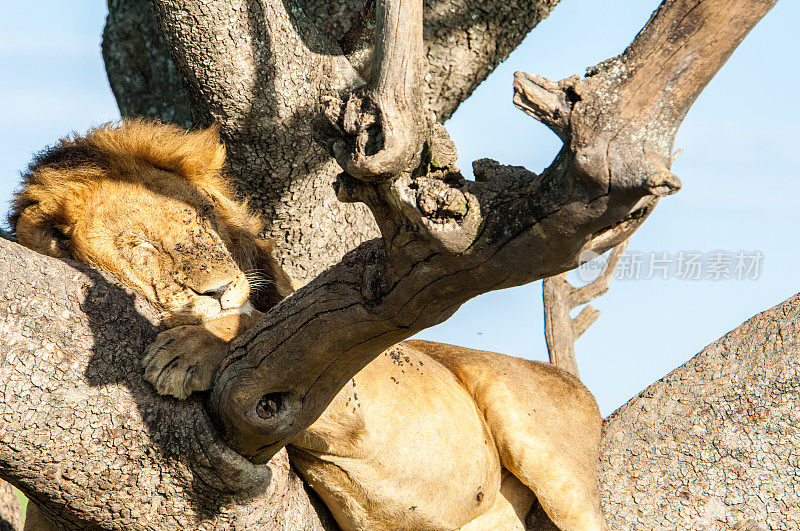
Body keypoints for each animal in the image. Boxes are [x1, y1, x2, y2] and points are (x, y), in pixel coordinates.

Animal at [12, 120, 608, 531]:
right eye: (141, 247)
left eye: (203, 219)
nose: (218, 287)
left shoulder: (334, 391)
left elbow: (253, 322)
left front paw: (189, 350)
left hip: (552, 460)